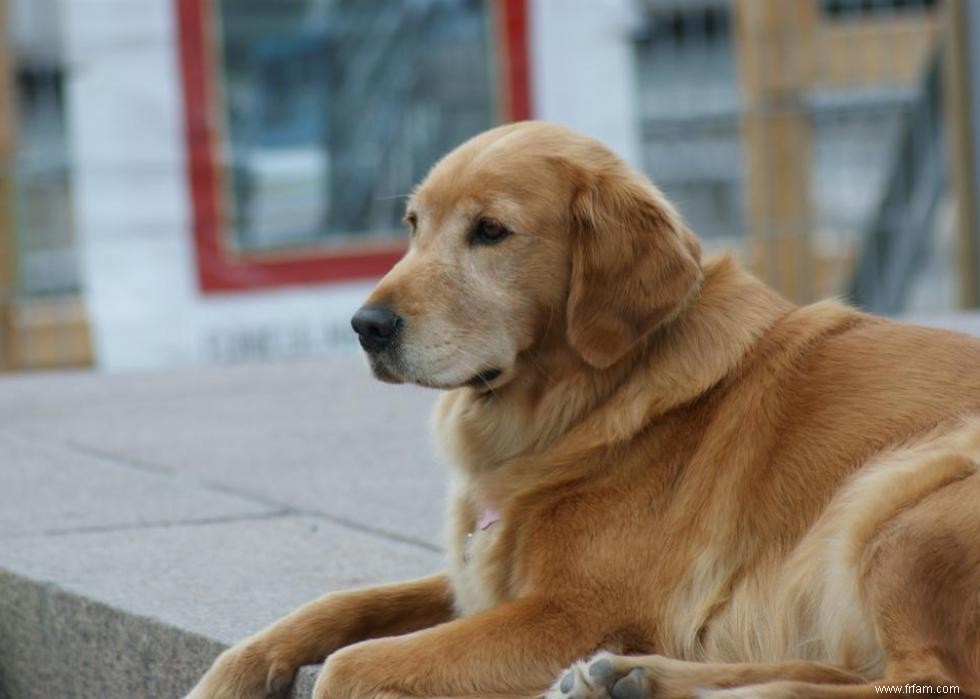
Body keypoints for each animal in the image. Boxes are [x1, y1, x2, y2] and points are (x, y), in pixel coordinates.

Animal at [189, 123, 980, 699]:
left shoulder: (574, 611)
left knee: (926, 681)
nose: (365, 325)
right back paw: (639, 678)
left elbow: (353, 663)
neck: (588, 405)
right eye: (414, 224)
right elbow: (337, 605)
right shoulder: (483, 580)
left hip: (899, 498)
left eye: (490, 231)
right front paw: (229, 676)